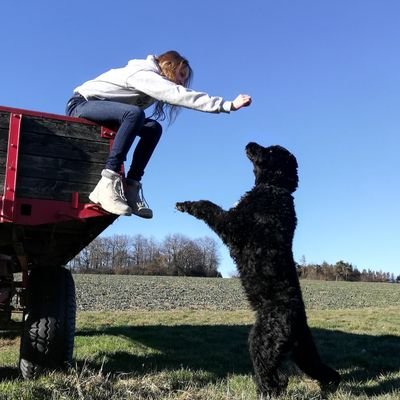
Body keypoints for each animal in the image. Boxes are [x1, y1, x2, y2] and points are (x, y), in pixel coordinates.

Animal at [176, 142, 340, 398]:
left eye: (271, 151)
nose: (249, 143)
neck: (273, 189)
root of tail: (298, 322)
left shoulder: (231, 225)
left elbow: (209, 206)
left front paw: (185, 204)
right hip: (304, 351)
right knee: (322, 370)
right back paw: (331, 385)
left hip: (262, 341)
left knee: (273, 377)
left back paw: (265, 391)